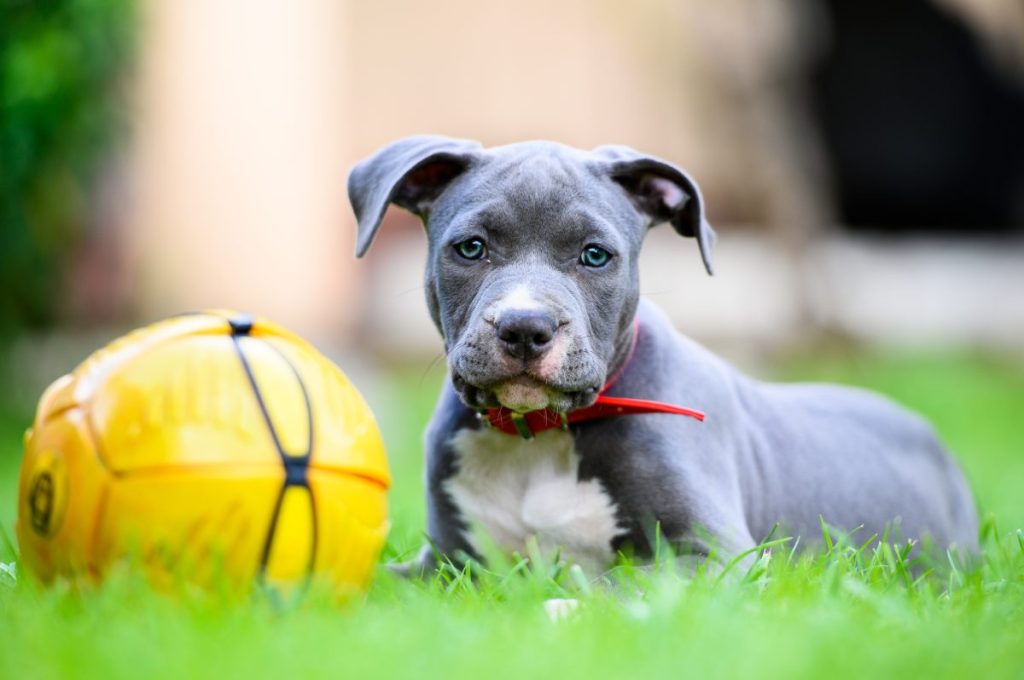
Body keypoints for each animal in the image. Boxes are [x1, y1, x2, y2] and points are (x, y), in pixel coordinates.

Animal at [348, 135, 978, 569]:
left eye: (595, 255)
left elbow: (610, 583)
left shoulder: (715, 553)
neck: (541, 436)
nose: (526, 328)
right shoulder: (450, 563)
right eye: (471, 248)